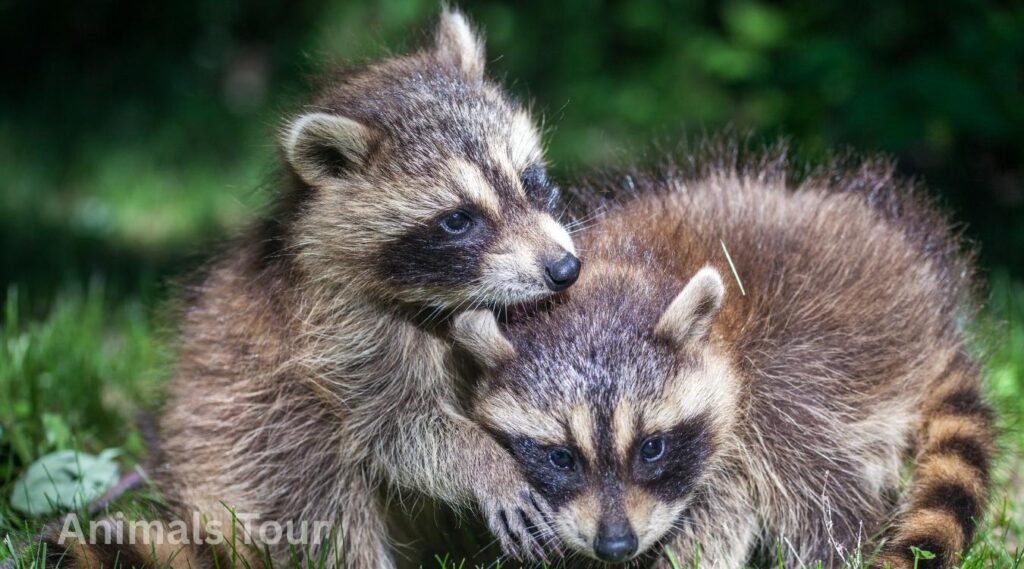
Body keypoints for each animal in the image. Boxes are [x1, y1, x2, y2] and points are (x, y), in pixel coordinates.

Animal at [43, 9, 577, 569]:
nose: (564, 268)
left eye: (530, 180)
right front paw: (486, 463)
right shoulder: (340, 333)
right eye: (457, 220)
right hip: (241, 437)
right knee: (313, 478)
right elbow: (395, 430)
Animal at [453, 150, 994, 568]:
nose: (616, 546)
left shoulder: (758, 390)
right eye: (560, 457)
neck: (622, 271)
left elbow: (747, 502)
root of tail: (934, 312)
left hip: (834, 347)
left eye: (652, 448)